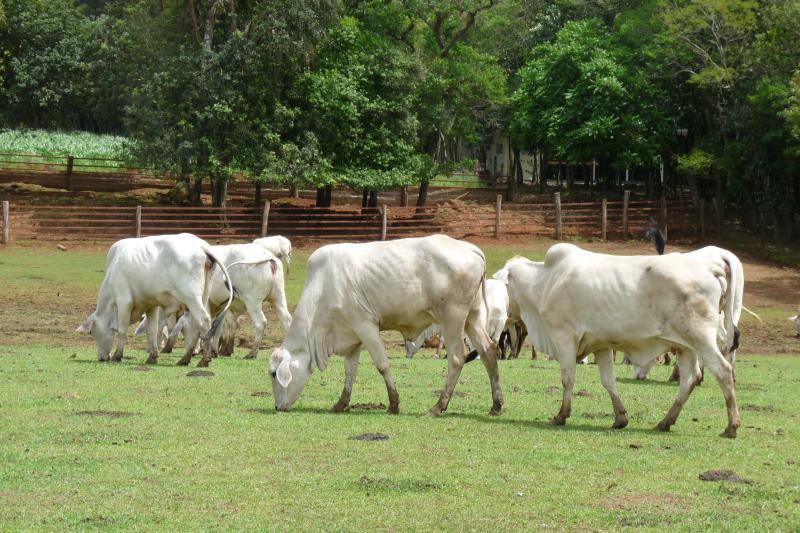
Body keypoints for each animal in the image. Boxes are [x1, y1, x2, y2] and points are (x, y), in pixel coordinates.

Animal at [76, 233, 231, 366]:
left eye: (92, 332)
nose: (101, 358)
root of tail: (201, 246)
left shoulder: (124, 301)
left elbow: (122, 330)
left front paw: (117, 355)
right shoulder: (151, 305)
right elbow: (152, 329)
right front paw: (152, 356)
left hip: (192, 297)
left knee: (203, 321)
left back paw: (204, 360)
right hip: (202, 298)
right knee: (193, 324)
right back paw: (185, 358)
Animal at [272, 234, 504, 416]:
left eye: (273, 374)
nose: (277, 407)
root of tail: (470, 248)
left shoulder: (365, 325)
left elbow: (382, 364)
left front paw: (394, 403)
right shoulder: (352, 335)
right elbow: (350, 371)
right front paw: (341, 403)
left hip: (453, 319)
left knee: (457, 358)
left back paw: (438, 407)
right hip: (472, 318)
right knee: (488, 352)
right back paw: (496, 405)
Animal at [500, 244, 744, 436]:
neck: (545, 282)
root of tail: (709, 265)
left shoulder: (564, 337)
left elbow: (568, 379)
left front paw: (561, 415)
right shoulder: (601, 345)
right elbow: (609, 381)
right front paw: (620, 418)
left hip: (701, 338)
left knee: (723, 371)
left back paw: (731, 426)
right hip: (686, 346)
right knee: (690, 378)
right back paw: (665, 422)